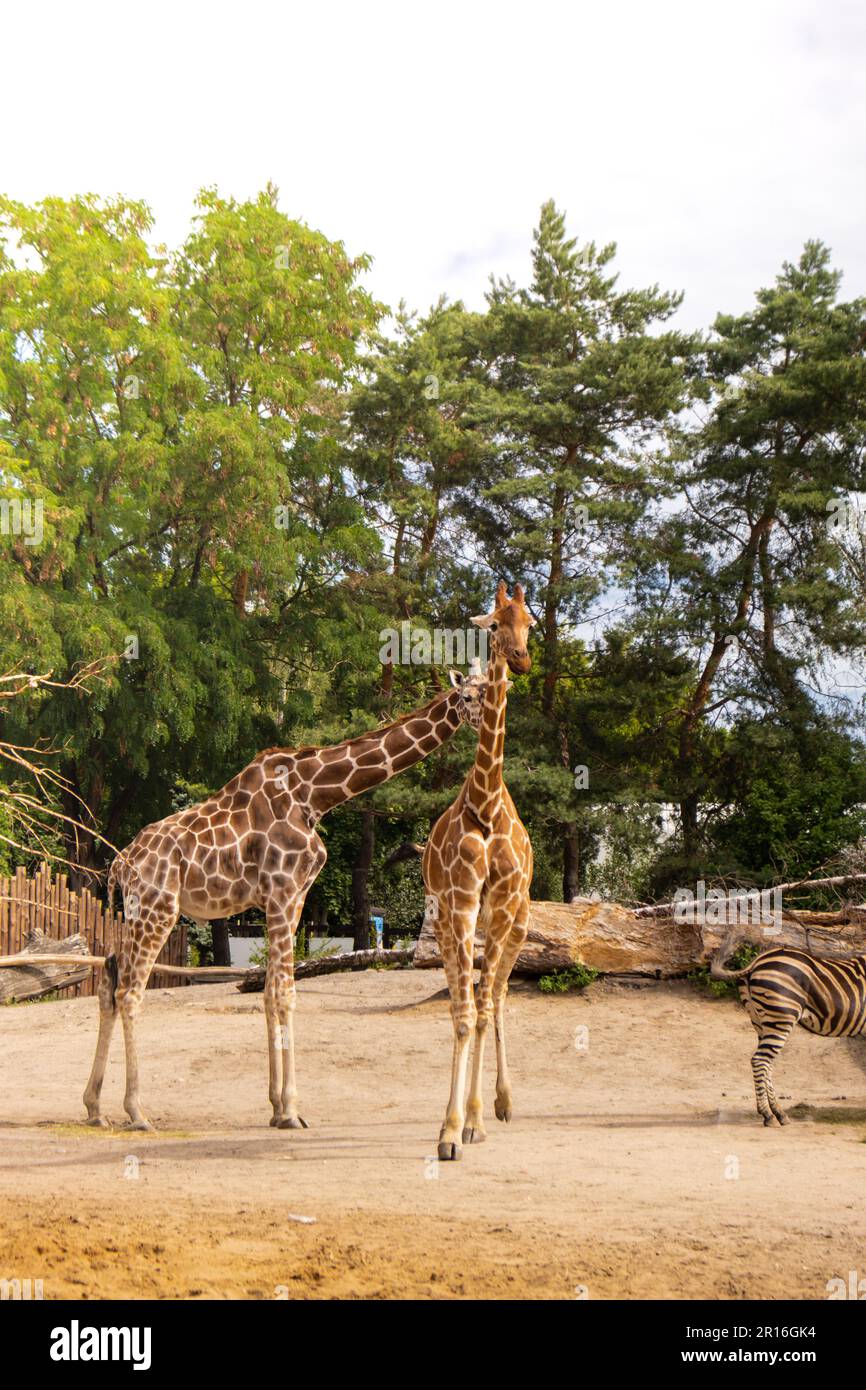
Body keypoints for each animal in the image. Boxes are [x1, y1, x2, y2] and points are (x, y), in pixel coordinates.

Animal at [83, 666, 487, 1132]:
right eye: (470, 696)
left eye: (493, 689)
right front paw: (291, 1109)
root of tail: (121, 864)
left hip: (135, 912)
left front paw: (276, 1107)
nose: (488, 718)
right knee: (130, 991)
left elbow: (269, 992)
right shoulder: (283, 891)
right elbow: (286, 993)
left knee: (110, 978)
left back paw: (94, 1108)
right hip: (158, 909)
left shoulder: (292, 901)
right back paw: (137, 1111)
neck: (316, 795)